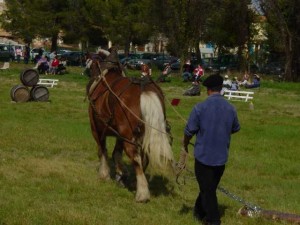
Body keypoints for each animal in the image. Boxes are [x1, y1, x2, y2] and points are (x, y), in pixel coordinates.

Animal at [86, 49, 173, 202]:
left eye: (90, 63)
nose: (85, 71)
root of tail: (144, 91)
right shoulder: (120, 134)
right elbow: (116, 153)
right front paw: (121, 174)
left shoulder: (96, 128)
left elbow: (102, 150)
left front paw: (105, 174)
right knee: (144, 157)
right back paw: (136, 182)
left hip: (128, 136)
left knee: (136, 158)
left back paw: (142, 193)